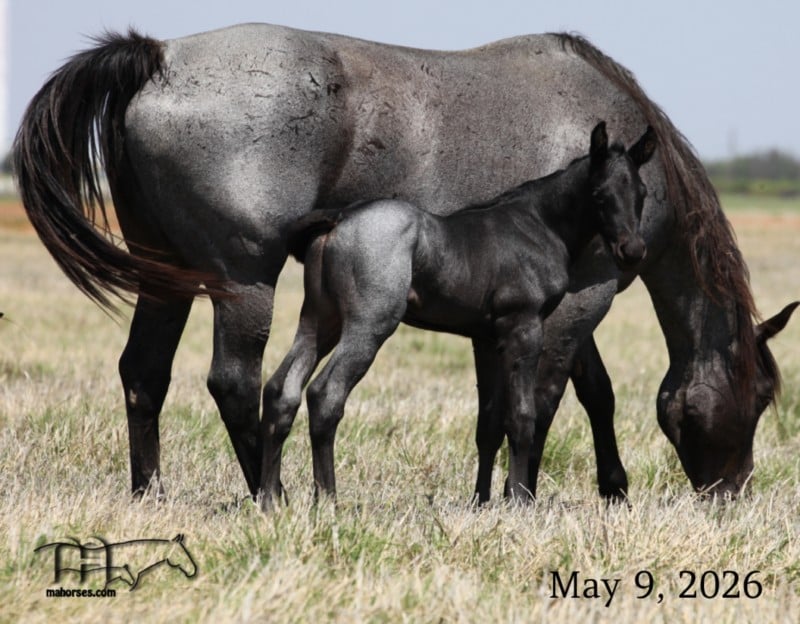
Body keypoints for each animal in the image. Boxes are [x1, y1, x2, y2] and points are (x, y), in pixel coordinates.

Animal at [262, 122, 655, 508]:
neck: (539, 224)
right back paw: (327, 501)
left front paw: (480, 501)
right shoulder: (524, 328)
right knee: (325, 394)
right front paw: (518, 501)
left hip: (319, 321)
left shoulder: (486, 340)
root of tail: (339, 217)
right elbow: (521, 416)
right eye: (600, 194)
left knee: (282, 389)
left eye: (642, 193)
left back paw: (269, 500)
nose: (633, 250)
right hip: (368, 325)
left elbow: (489, 425)